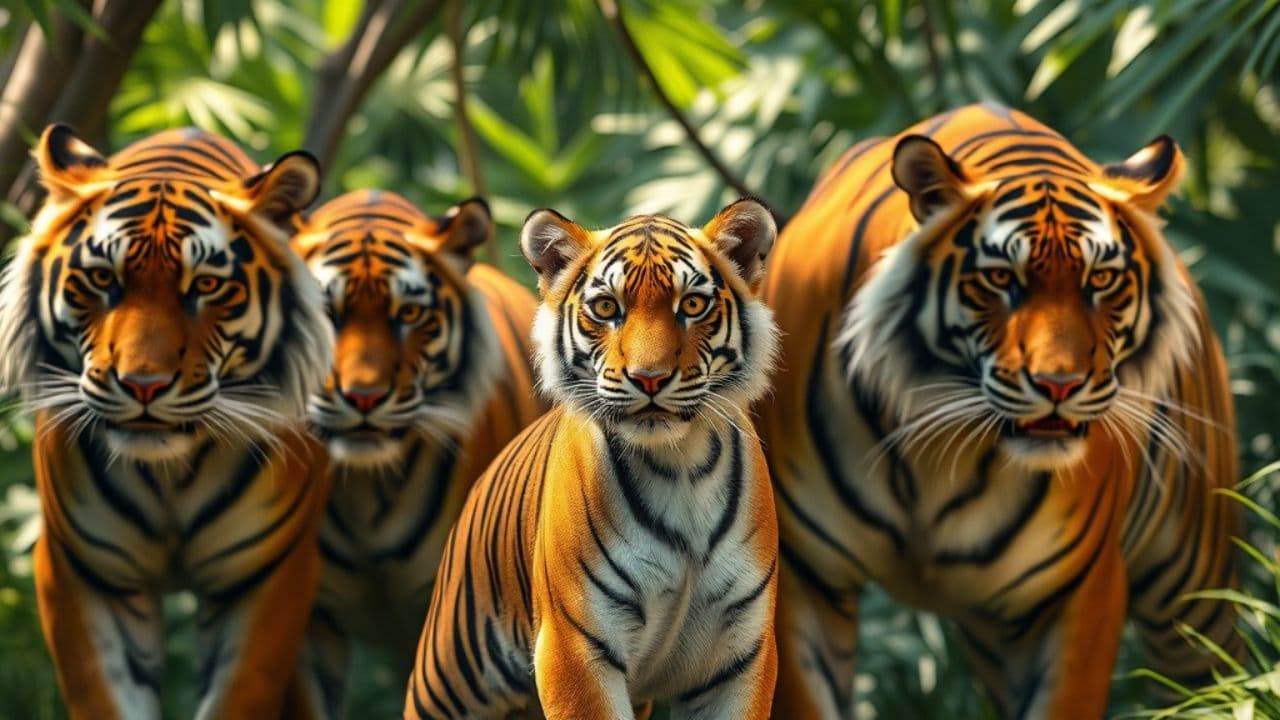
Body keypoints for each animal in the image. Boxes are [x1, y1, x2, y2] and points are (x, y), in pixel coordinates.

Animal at [0, 124, 335, 718]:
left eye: (206, 286)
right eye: (101, 279)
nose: (143, 385)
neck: (169, 475)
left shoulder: (271, 576)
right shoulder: (81, 573)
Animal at [403, 199, 782, 720]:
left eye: (691, 305)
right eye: (606, 308)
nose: (649, 377)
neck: (679, 465)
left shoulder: (739, 656)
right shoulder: (574, 648)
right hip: (447, 677)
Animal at [758, 102, 1239, 719]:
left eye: (1101, 280)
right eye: (1001, 279)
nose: (1060, 384)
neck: (939, 455)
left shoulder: (1077, 591)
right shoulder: (804, 578)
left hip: (1192, 590)